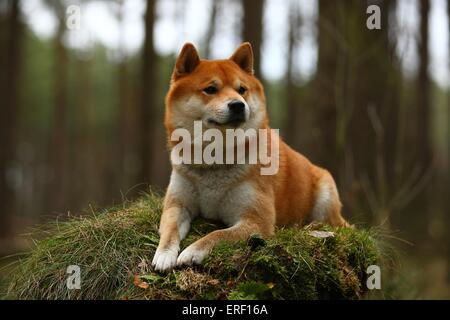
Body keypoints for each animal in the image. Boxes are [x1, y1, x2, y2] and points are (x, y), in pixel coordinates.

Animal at [151, 42, 348, 272]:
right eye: (210, 89)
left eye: (242, 90)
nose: (238, 104)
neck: (215, 158)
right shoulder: (177, 205)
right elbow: (170, 231)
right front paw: (164, 254)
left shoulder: (256, 221)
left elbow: (217, 235)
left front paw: (192, 251)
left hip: (326, 194)